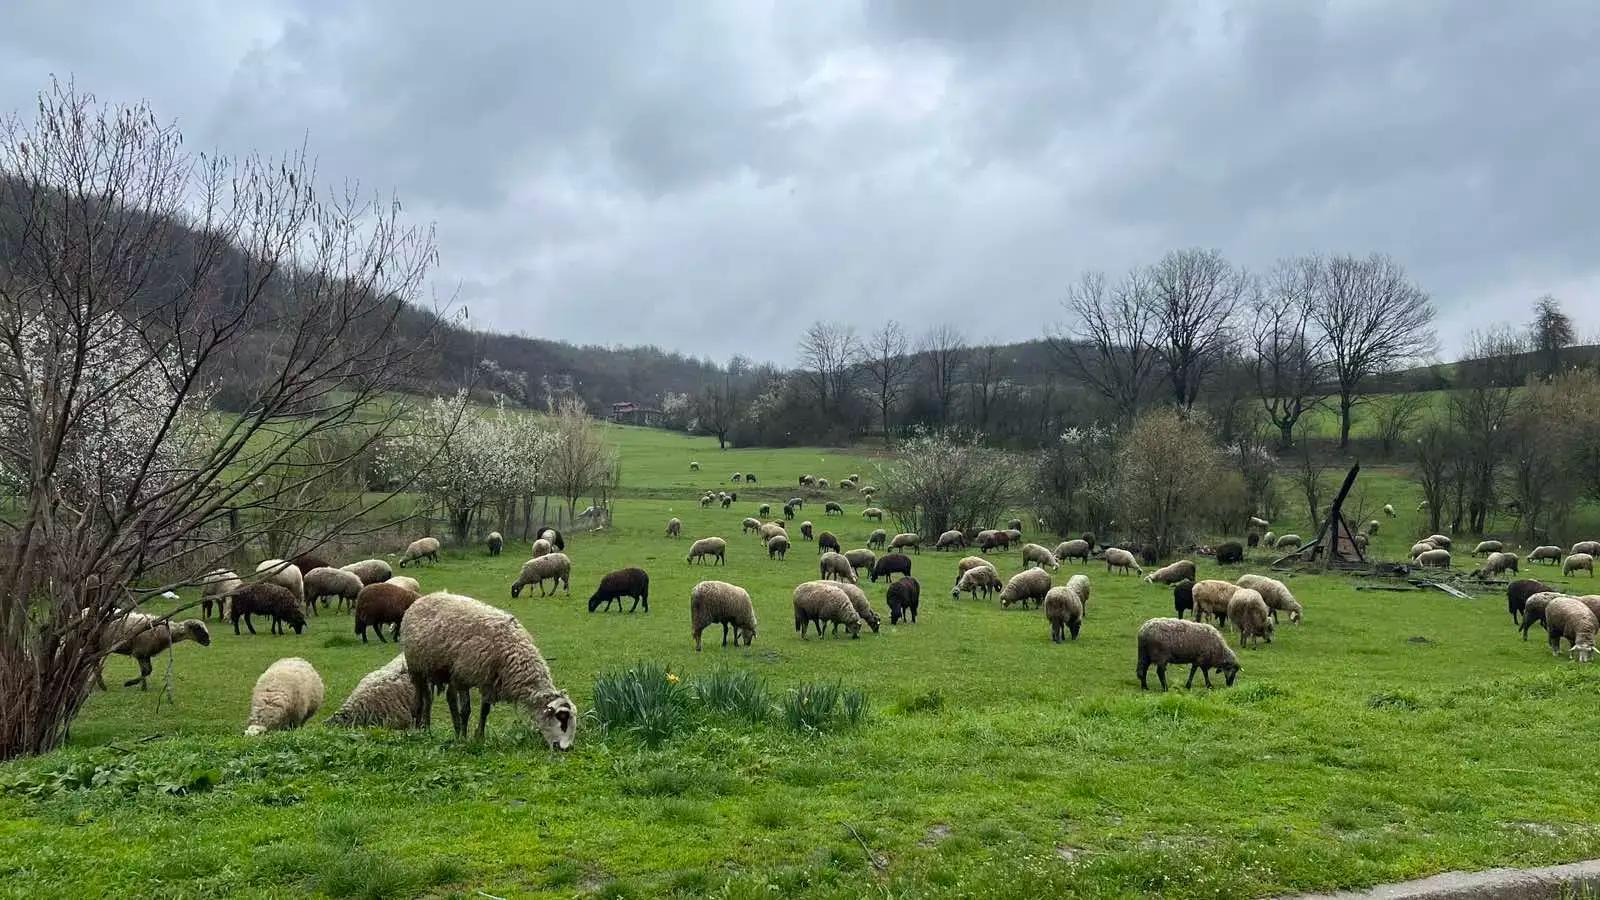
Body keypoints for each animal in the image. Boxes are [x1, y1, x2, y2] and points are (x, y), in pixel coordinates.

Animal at [403, 589, 579, 743]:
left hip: (443, 670)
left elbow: (485, 710)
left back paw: (440, 729)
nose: (565, 749)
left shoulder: (488, 680)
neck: (511, 648)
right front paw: (465, 739)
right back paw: (421, 729)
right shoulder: (463, 677)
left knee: (439, 697)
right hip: (416, 667)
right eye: (562, 719)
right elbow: (466, 710)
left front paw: (479, 737)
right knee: (421, 699)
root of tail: (423, 598)